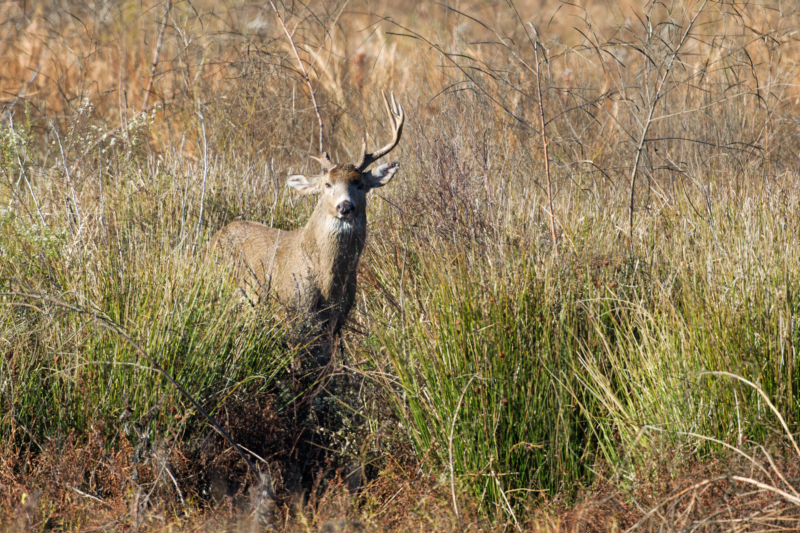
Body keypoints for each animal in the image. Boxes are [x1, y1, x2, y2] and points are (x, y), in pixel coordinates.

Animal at [211, 91, 406, 340]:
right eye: (327, 184)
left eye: (360, 184)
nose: (345, 207)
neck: (328, 286)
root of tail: (215, 237)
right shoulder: (291, 309)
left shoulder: (338, 320)